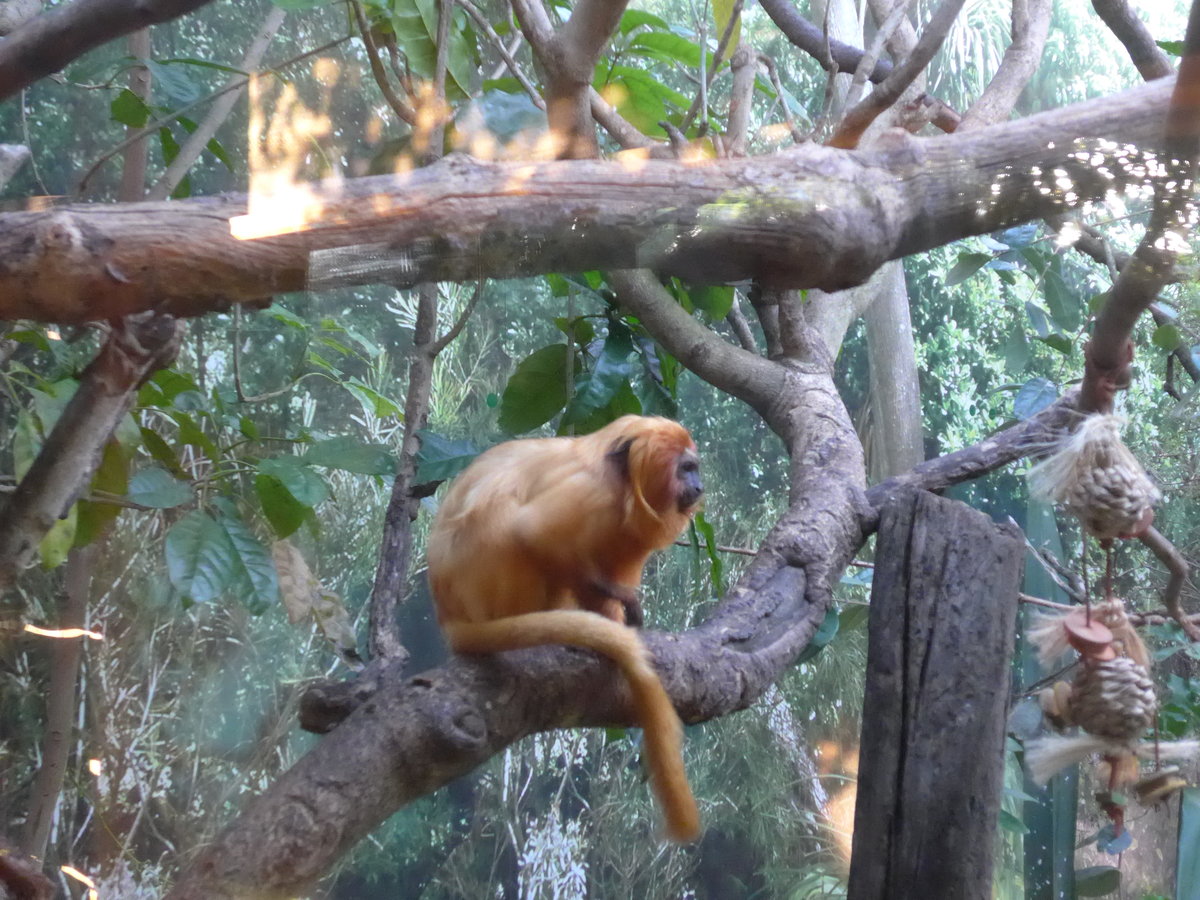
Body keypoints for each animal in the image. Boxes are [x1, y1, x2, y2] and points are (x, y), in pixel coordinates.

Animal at [426, 414, 704, 842]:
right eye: (686, 469)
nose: (699, 486)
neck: (620, 487)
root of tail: (449, 615)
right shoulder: (587, 495)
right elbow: (533, 533)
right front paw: (616, 596)